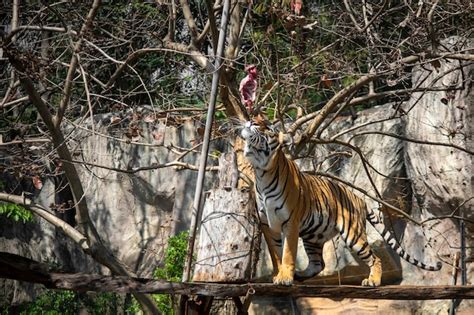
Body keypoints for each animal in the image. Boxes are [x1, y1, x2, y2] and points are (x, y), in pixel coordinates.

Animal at [239, 118, 442, 286]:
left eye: (268, 128)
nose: (250, 122)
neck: (262, 173)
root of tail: (359, 198)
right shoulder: (267, 224)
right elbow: (276, 254)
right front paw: (280, 274)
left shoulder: (290, 222)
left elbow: (288, 253)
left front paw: (285, 278)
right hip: (313, 235)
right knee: (318, 264)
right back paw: (300, 274)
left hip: (353, 234)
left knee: (374, 258)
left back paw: (372, 281)